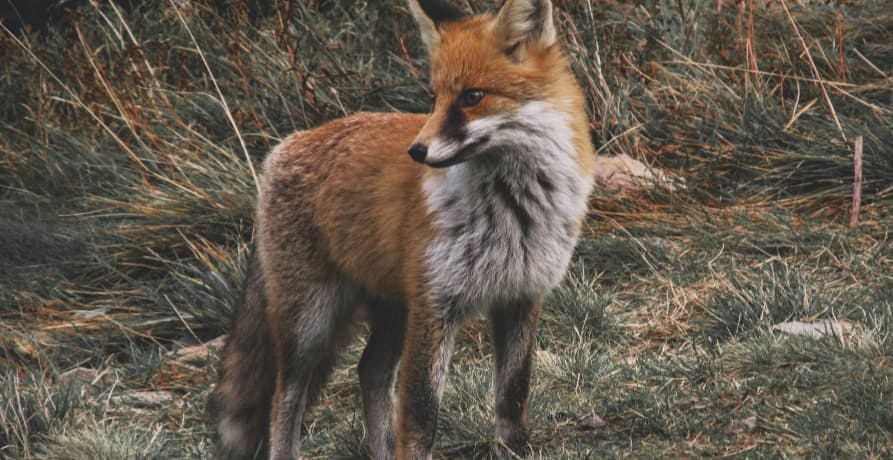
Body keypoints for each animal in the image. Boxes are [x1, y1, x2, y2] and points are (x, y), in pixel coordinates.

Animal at [211, 0, 596, 459]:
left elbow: (513, 394)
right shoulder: (435, 305)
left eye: (472, 97)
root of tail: (286, 146)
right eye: (433, 97)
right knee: (284, 396)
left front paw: (517, 450)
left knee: (370, 371)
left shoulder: (522, 295)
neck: (512, 211)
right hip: (310, 322)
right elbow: (420, 415)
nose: (417, 150)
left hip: (392, 310)